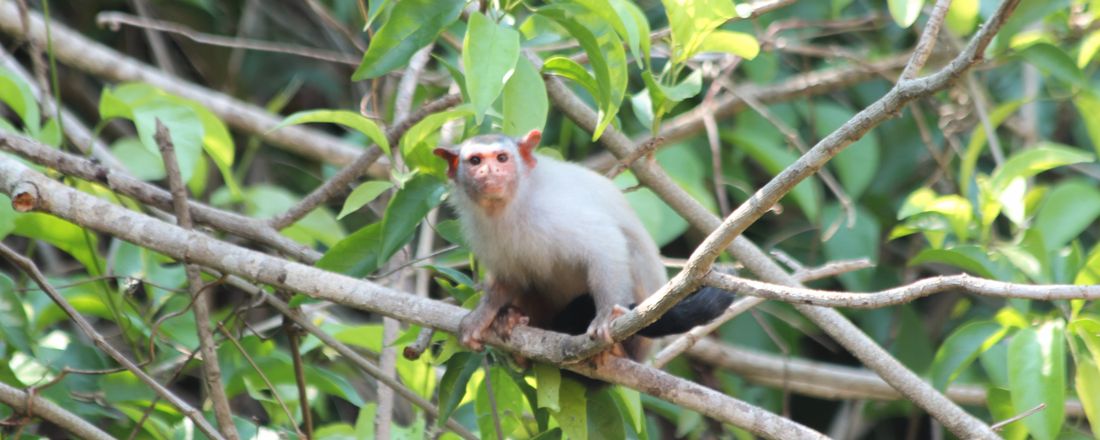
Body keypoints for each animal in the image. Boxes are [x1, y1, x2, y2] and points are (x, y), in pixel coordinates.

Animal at [433, 129, 734, 356]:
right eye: (475, 161)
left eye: (502, 158)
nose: (489, 171)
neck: (510, 205)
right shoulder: (480, 229)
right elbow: (508, 279)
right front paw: (485, 314)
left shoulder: (555, 210)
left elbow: (605, 244)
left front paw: (605, 316)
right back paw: (513, 320)